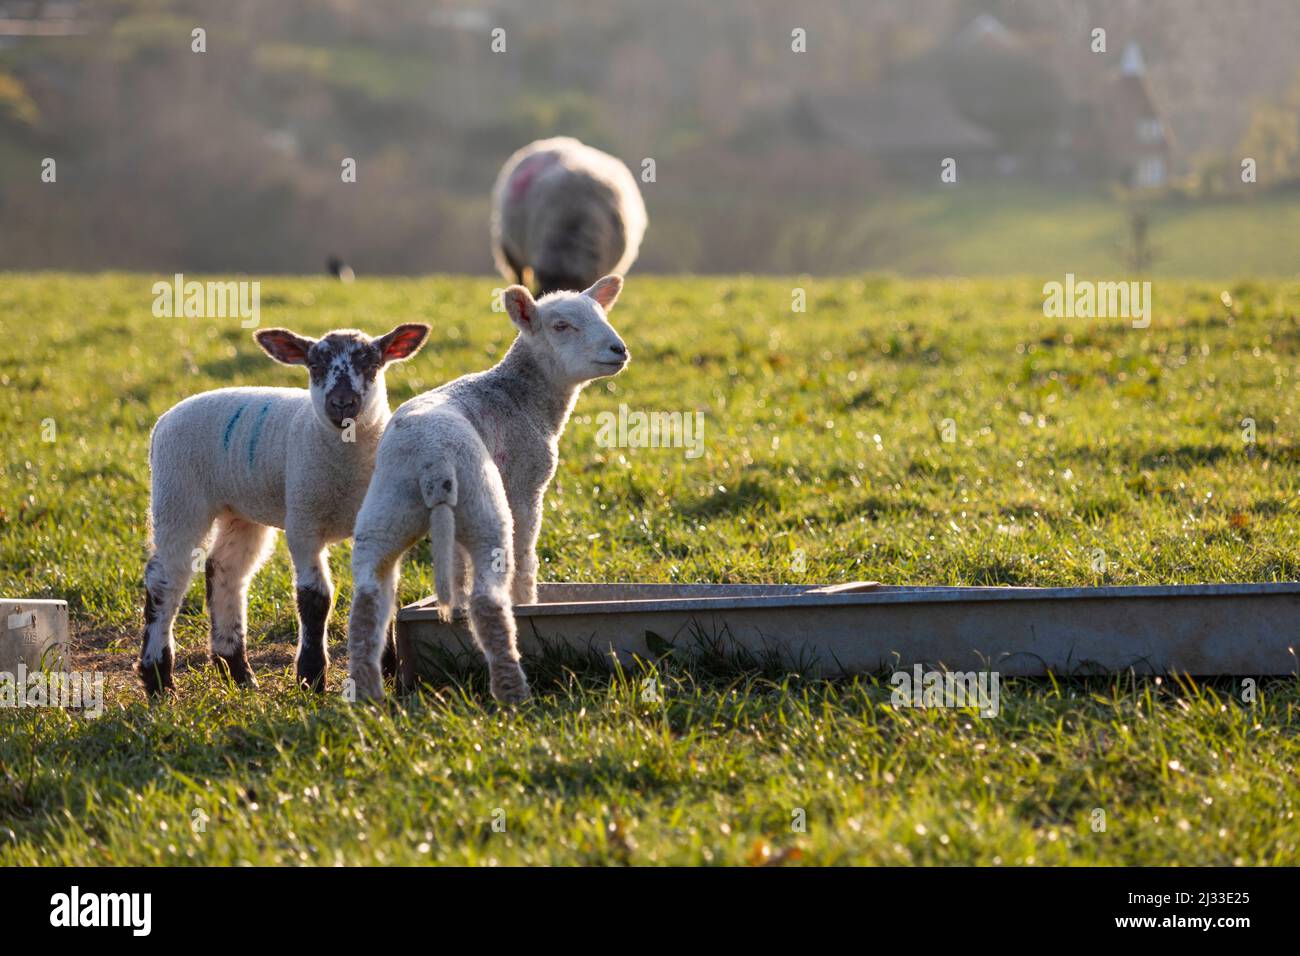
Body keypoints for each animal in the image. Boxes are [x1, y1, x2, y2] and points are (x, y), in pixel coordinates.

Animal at [137, 321, 431, 697]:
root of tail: (163, 421)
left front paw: (387, 672)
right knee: (165, 579)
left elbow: (381, 594)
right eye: (314, 365)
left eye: (371, 363)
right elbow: (315, 598)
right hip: (178, 496)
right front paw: (311, 677)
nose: (342, 403)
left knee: (225, 570)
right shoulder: (303, 522)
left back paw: (237, 672)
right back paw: (159, 679)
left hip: (239, 509)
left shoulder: (384, 523)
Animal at [345, 274, 629, 702]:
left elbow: (458, 567)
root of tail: (432, 459)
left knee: (368, 596)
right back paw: (514, 693)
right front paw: (528, 604)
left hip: (386, 508)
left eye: (602, 315)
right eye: (561, 326)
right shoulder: (526, 486)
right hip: (484, 506)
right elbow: (526, 559)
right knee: (489, 597)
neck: (522, 395)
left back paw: (367, 697)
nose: (619, 350)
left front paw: (455, 606)